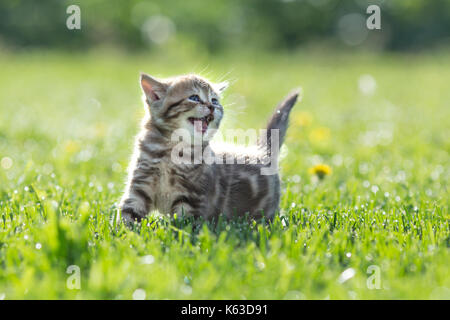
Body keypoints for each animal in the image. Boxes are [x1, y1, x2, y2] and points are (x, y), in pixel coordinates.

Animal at [118, 73, 298, 222]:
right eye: (194, 97)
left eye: (214, 101)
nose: (212, 107)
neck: (170, 152)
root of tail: (262, 153)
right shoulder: (139, 186)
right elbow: (128, 215)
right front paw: (124, 235)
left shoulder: (191, 199)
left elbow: (183, 226)